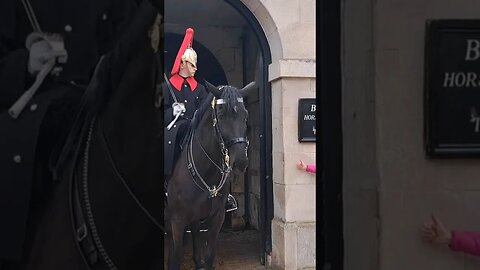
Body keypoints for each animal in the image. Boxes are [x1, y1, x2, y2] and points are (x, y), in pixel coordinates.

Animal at [165, 80, 255, 270]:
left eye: (245, 115)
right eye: (220, 115)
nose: (240, 162)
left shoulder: (217, 218)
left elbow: (209, 256)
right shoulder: (178, 220)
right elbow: (177, 257)